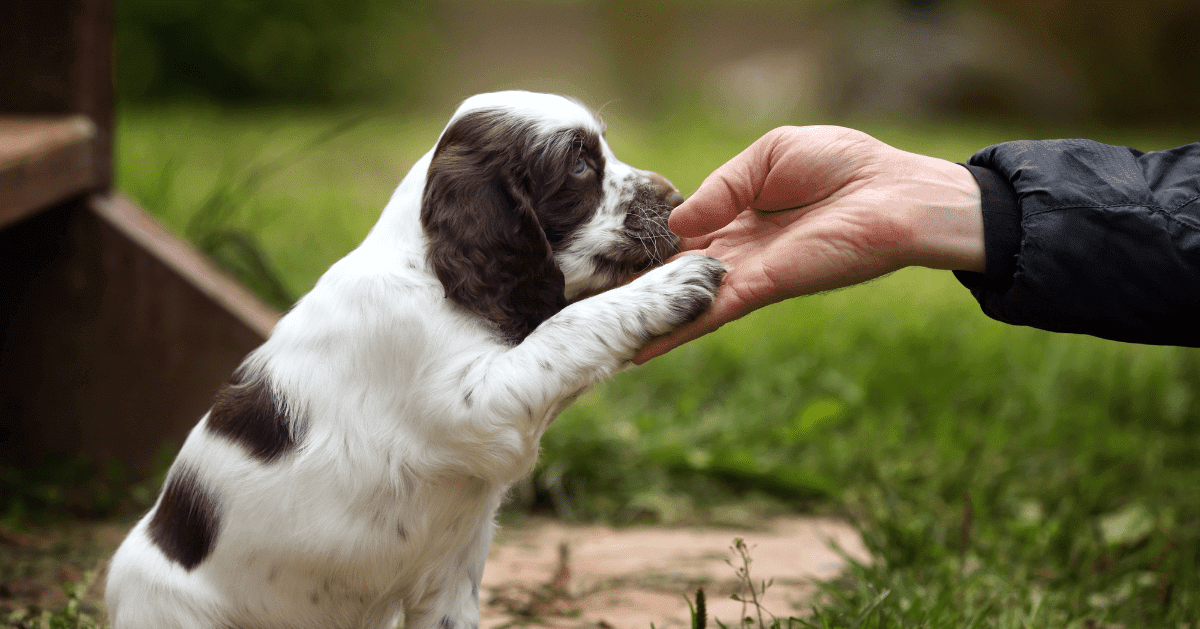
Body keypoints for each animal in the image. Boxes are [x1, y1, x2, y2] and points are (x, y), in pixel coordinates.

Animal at [105, 92, 720, 629]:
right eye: (577, 166)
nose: (676, 198)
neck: (430, 271)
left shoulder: (449, 581)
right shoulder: (475, 406)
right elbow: (565, 330)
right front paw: (672, 286)